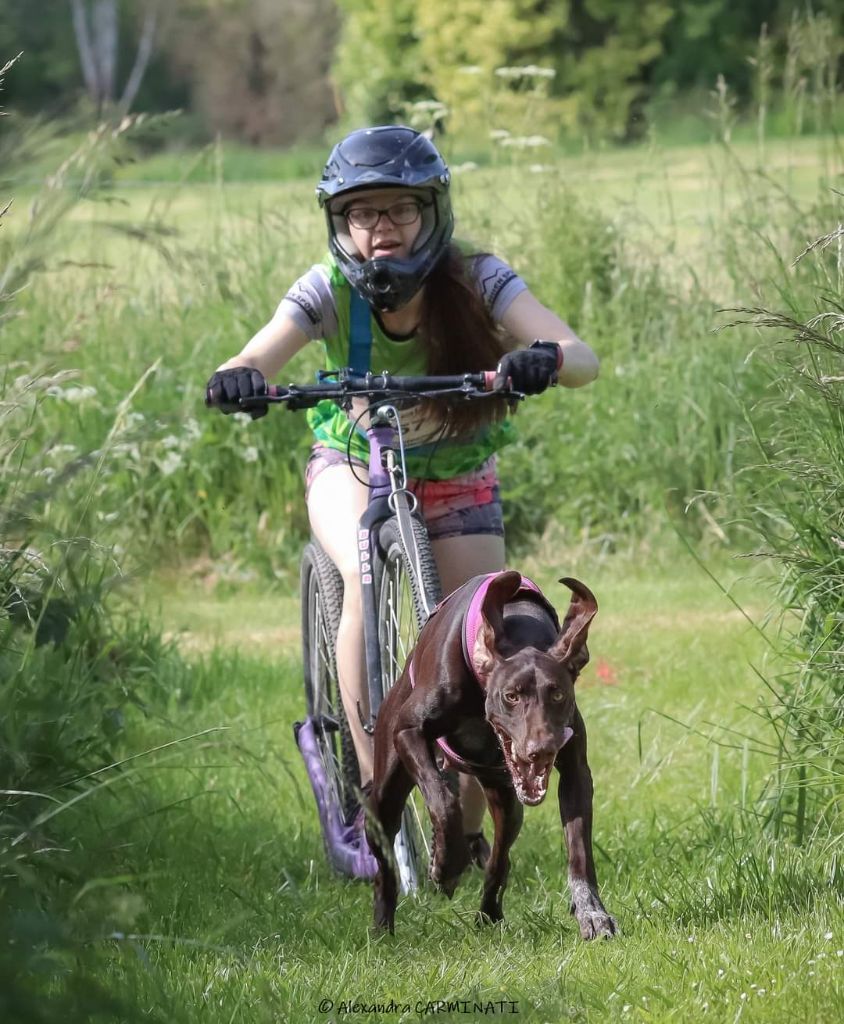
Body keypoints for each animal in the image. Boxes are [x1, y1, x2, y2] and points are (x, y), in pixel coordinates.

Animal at [366, 573, 614, 937]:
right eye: (511, 695)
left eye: (557, 694)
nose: (540, 751)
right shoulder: (408, 732)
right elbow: (444, 802)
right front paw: (446, 864)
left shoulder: (575, 772)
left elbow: (579, 848)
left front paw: (592, 912)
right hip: (383, 797)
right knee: (385, 865)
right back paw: (383, 928)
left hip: (506, 800)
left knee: (500, 856)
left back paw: (489, 914)